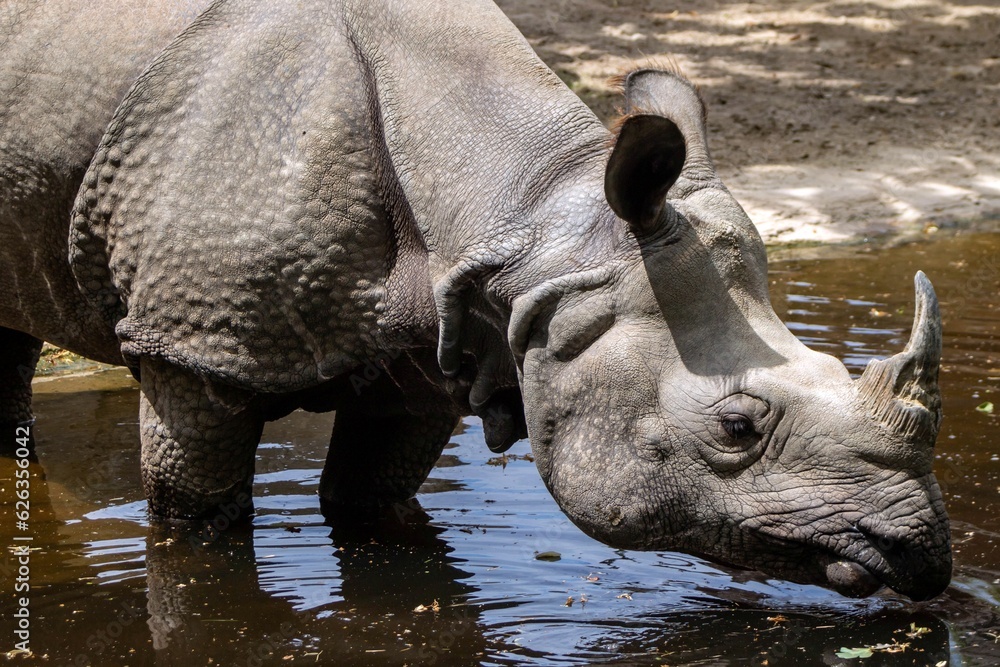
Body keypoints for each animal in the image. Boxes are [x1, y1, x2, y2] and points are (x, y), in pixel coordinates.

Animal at [3, 0, 949, 600]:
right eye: (738, 425)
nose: (921, 551)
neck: (525, 211)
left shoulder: (430, 355)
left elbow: (370, 499)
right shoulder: (194, 352)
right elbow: (196, 525)